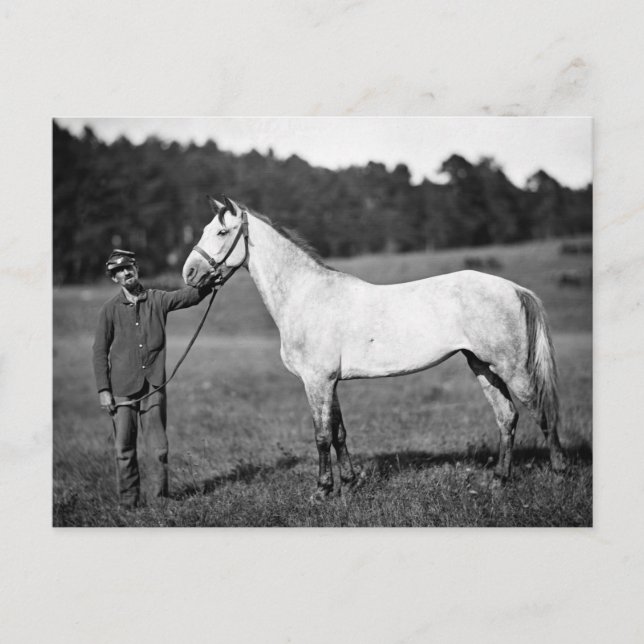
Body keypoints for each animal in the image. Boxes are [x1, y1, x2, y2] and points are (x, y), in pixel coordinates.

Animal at [182, 196, 566, 501]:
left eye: (221, 233)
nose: (189, 273)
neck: (307, 295)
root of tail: (514, 288)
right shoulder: (330, 382)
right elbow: (338, 433)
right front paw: (350, 484)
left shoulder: (317, 381)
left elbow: (321, 435)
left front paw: (322, 491)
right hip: (483, 367)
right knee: (507, 417)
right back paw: (499, 481)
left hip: (513, 369)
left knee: (543, 414)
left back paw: (559, 473)